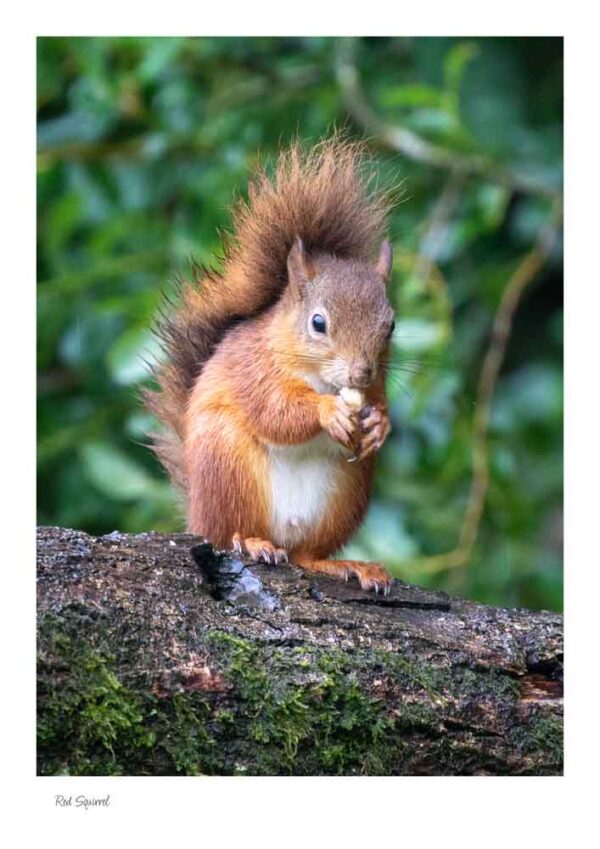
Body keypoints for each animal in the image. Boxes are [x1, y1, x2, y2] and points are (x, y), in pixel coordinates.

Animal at [146, 137, 396, 592]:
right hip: (227, 465)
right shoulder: (254, 371)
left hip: (345, 494)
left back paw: (345, 564)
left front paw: (379, 424)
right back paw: (253, 542)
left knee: (306, 554)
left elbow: (378, 404)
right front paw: (327, 412)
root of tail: (196, 515)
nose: (361, 372)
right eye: (318, 323)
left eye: (391, 325)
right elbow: (275, 412)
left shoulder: (377, 386)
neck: (319, 378)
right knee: (230, 532)